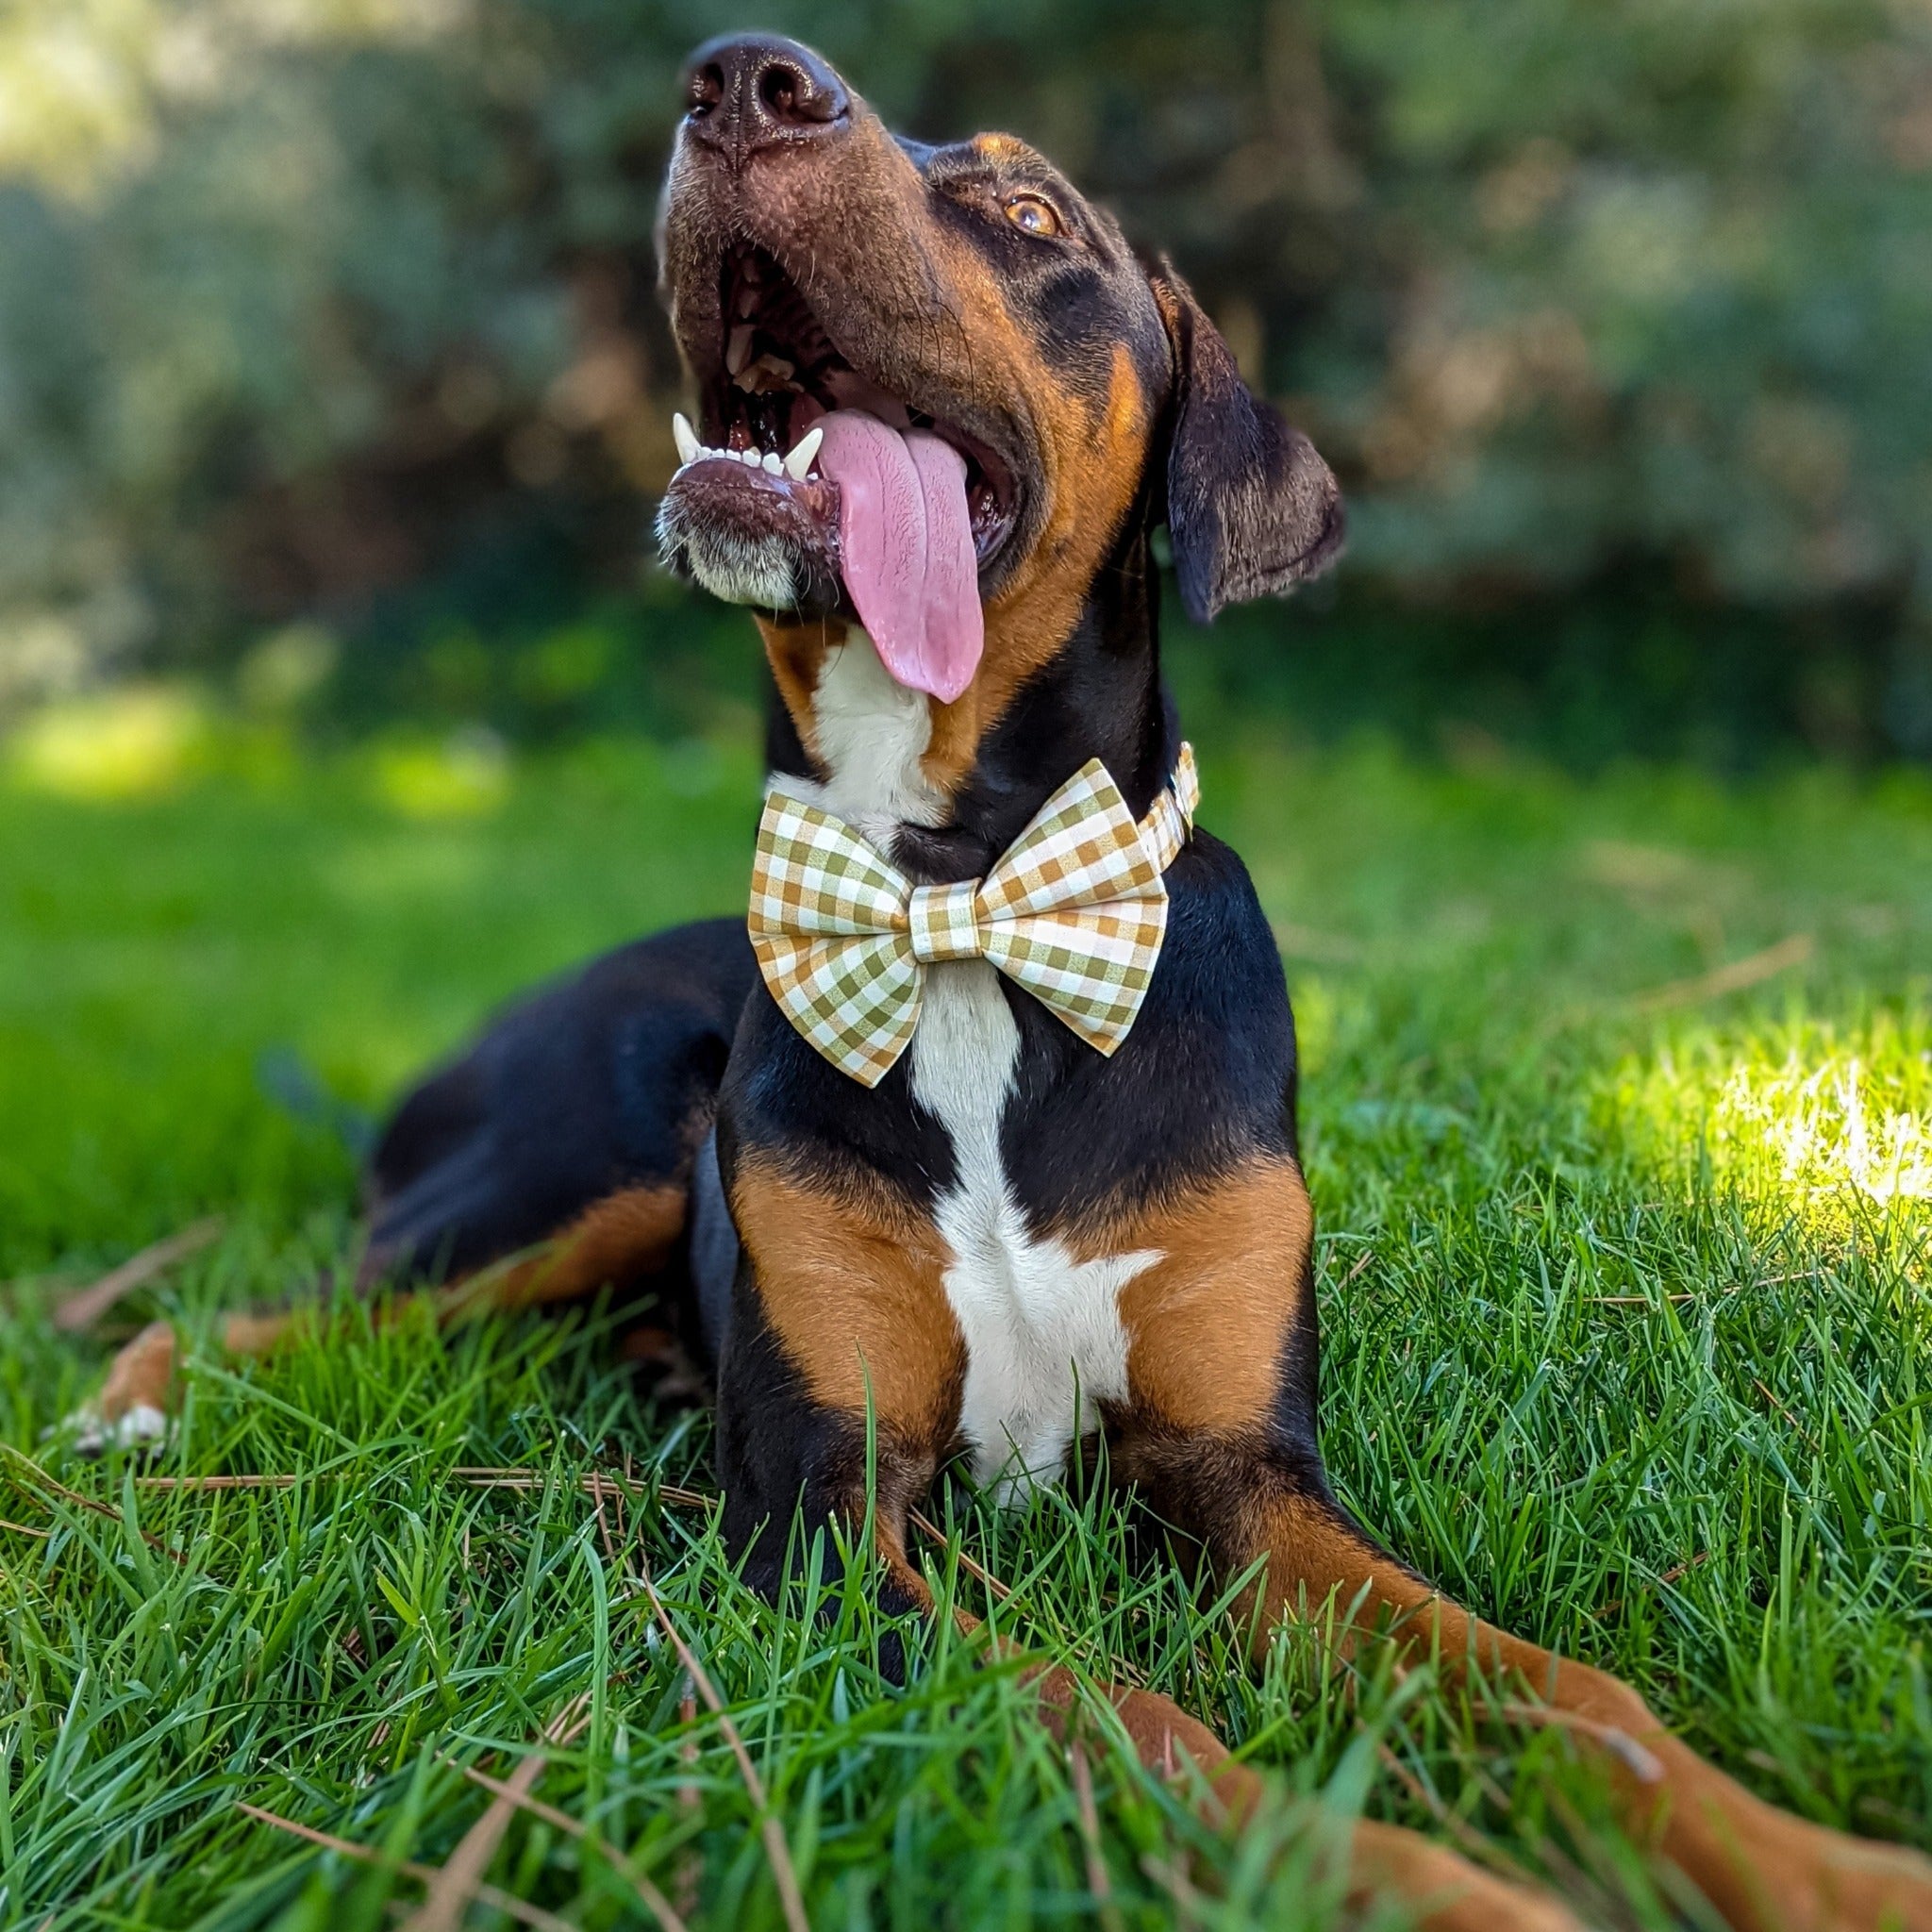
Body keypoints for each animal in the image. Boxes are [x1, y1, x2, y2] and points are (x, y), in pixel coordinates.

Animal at [83, 34, 1932, 1932]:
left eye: (1034, 214)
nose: (743, 78)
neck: (961, 901)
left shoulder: (1240, 1474)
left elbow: (1563, 1689)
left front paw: (1826, 1870)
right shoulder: (823, 1521)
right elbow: (1133, 1719)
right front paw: (1435, 1888)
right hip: (554, 1174)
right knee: (267, 1309)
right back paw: (130, 1410)